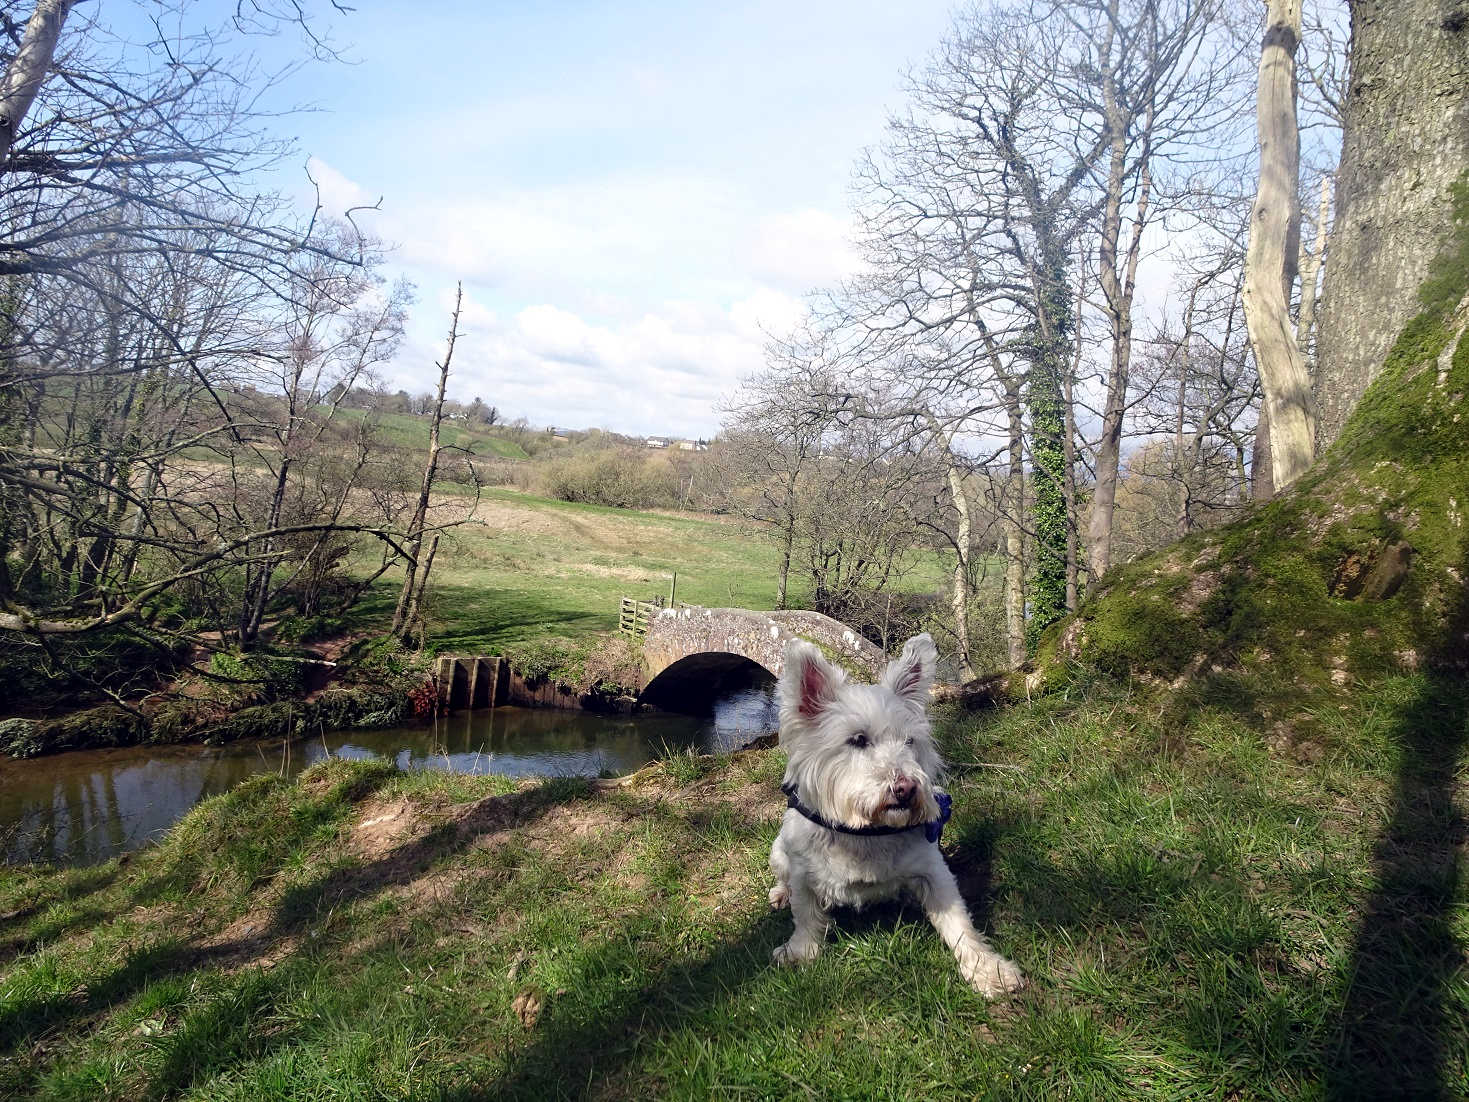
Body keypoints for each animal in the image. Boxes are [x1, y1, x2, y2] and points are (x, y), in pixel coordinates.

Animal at [769, 628, 1022, 999]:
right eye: (858, 740)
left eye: (909, 741)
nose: (906, 788)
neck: (865, 832)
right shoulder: (804, 873)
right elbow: (805, 916)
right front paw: (799, 952)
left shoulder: (933, 870)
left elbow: (959, 922)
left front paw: (988, 968)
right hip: (778, 851)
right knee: (783, 877)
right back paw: (779, 893)